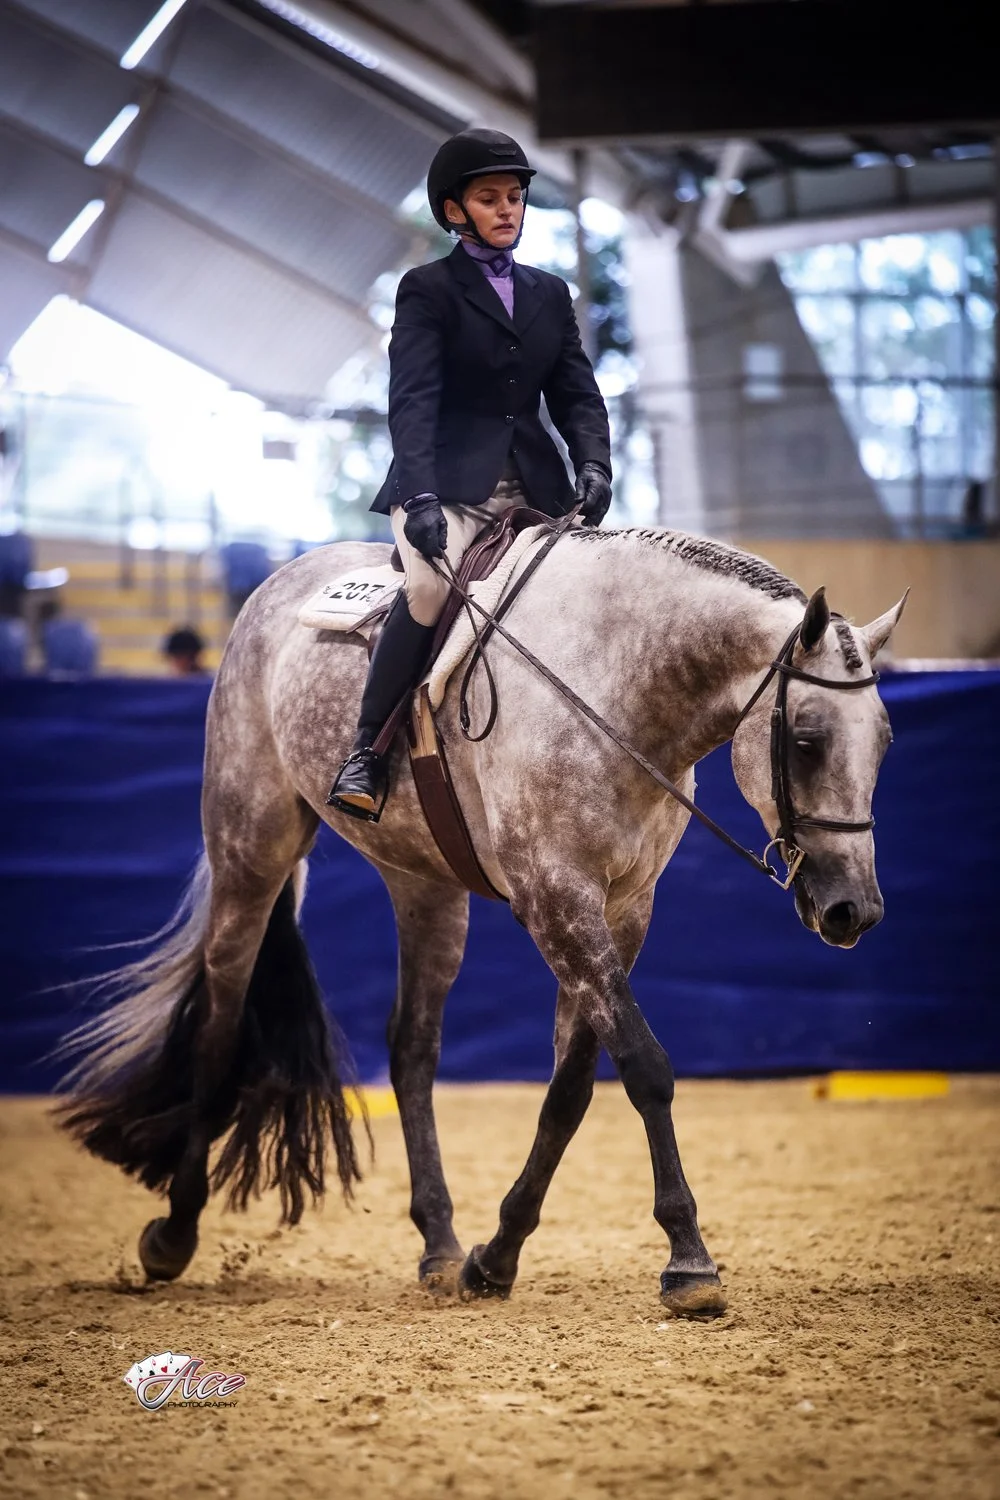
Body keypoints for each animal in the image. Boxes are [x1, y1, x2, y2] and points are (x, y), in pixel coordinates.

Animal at [56, 524, 906, 1319]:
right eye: (807, 740)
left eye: (886, 741)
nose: (853, 910)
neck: (615, 689)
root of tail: (280, 580)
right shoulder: (556, 898)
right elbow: (646, 1069)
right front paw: (689, 1260)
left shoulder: (623, 910)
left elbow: (570, 1090)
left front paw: (494, 1258)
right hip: (250, 849)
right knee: (221, 1021)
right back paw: (174, 1232)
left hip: (425, 886)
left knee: (411, 1048)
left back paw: (439, 1245)